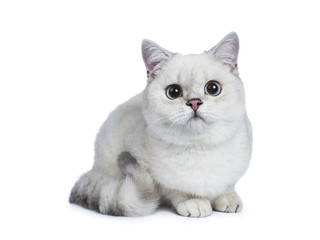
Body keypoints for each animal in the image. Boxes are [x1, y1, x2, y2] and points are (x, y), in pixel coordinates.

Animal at [69, 31, 252, 218]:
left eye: (213, 88)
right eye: (174, 92)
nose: (194, 102)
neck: (199, 147)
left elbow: (227, 186)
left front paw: (228, 199)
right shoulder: (150, 172)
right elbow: (177, 190)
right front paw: (193, 202)